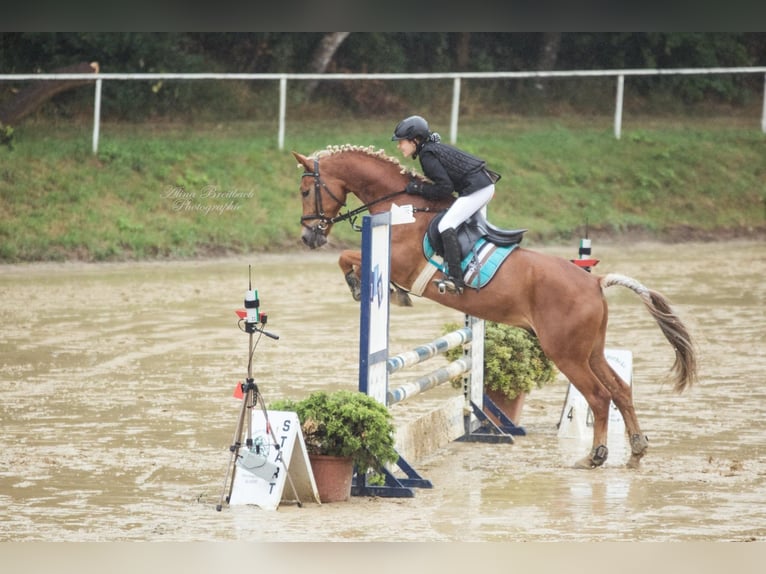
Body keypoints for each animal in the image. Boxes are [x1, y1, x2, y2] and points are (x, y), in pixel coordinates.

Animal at [292, 146, 700, 470]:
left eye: (305, 190)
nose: (309, 237)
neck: (402, 208)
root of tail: (594, 282)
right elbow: (348, 259)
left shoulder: (398, 262)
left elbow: (348, 258)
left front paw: (371, 289)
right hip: (591, 350)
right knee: (620, 391)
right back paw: (636, 450)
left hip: (566, 352)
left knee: (599, 397)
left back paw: (595, 456)